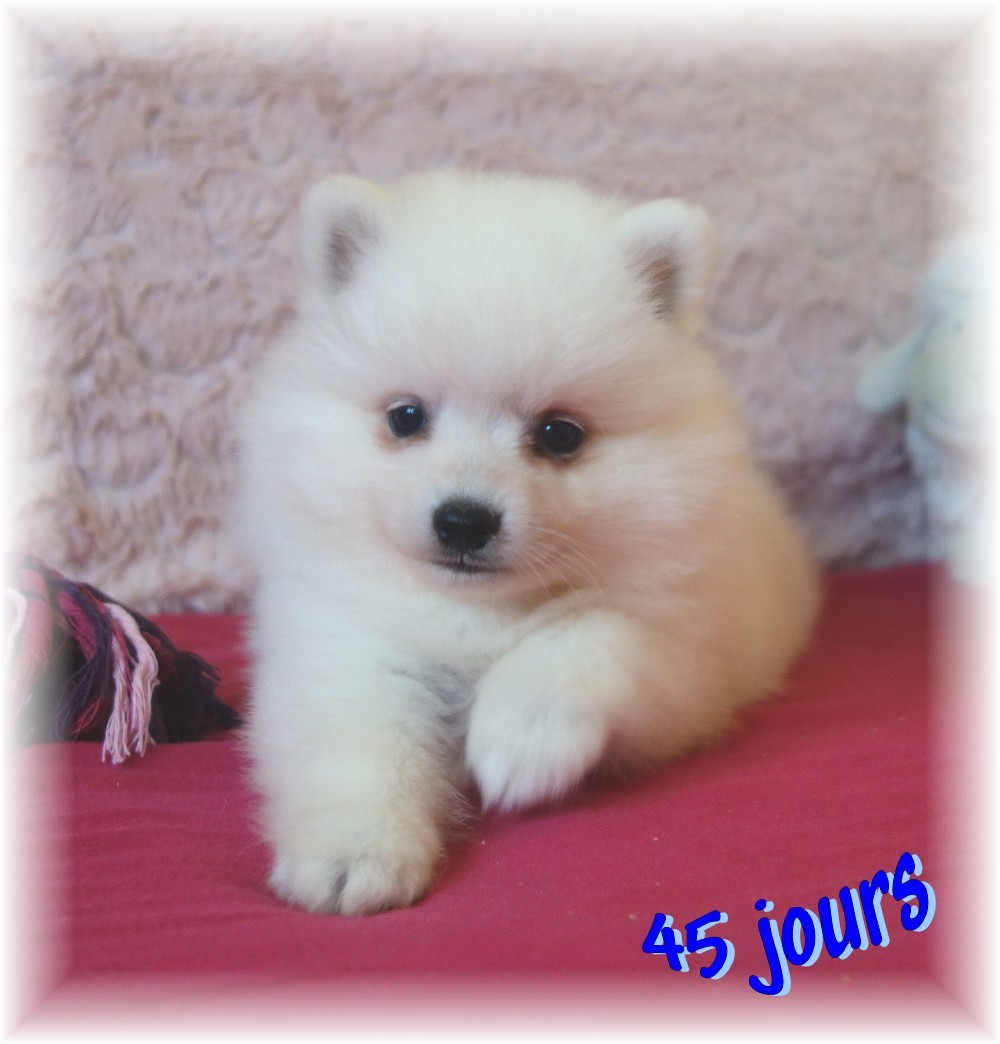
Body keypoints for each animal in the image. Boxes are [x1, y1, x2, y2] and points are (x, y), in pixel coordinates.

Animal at [236, 170, 819, 915]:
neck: (477, 611)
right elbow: (357, 745)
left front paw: (523, 738)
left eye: (559, 434)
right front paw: (353, 855)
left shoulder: (686, 655)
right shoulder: (348, 644)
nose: (463, 520)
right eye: (406, 417)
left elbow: (590, 631)